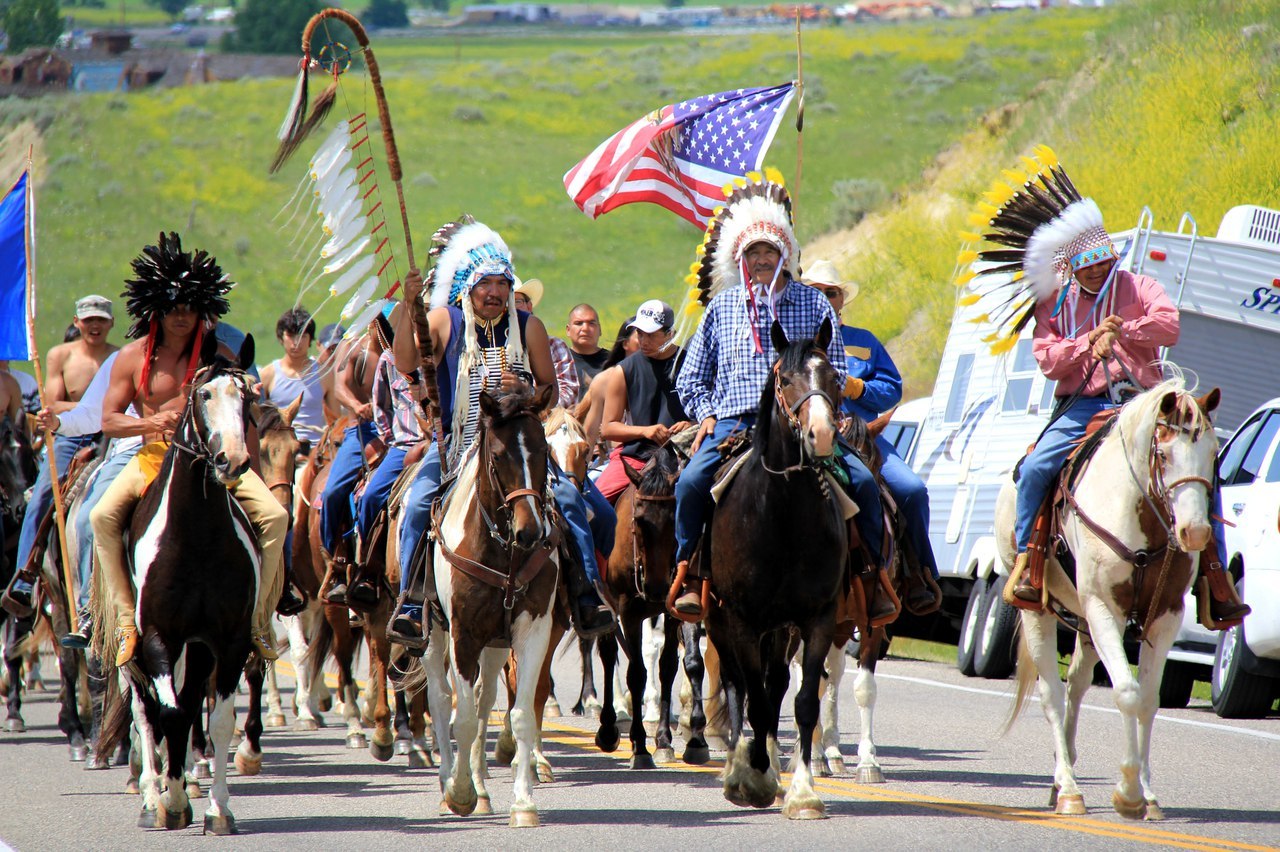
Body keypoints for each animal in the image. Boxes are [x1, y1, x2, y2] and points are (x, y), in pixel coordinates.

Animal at [96, 335, 262, 834]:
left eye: (247, 398)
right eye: (203, 395)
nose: (232, 460)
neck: (197, 536)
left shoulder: (228, 640)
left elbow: (217, 719)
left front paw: (218, 810)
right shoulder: (157, 637)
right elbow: (167, 716)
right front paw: (168, 802)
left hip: (198, 649)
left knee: (187, 709)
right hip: (135, 650)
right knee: (147, 714)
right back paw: (152, 794)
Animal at [422, 383, 558, 823]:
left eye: (544, 450)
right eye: (498, 455)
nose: (530, 531)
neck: (504, 552)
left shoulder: (533, 631)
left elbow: (522, 714)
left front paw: (524, 803)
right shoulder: (463, 635)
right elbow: (461, 719)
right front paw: (459, 793)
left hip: (496, 645)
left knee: (484, 701)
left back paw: (481, 787)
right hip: (432, 636)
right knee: (441, 699)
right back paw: (449, 782)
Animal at [591, 440, 711, 767]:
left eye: (675, 521)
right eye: (639, 520)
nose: (657, 587)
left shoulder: (673, 612)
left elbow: (670, 666)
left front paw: (666, 741)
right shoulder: (628, 611)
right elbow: (637, 673)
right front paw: (639, 746)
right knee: (609, 655)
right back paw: (608, 728)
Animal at [993, 378, 1223, 818]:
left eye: (1214, 453)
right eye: (1163, 454)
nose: (1197, 533)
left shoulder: (1165, 615)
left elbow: (1148, 700)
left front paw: (1148, 795)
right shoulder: (1104, 608)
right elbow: (1127, 693)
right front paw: (1128, 794)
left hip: (1084, 624)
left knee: (1076, 685)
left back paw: (1061, 778)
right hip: (1040, 612)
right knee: (1052, 694)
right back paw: (1068, 789)